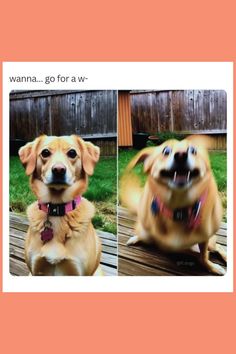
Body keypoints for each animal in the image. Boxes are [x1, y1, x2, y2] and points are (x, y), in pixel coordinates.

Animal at [121, 135, 227, 274]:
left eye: (193, 150)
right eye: (166, 151)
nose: (181, 155)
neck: (179, 206)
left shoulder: (204, 239)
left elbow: (203, 256)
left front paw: (211, 267)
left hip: (210, 243)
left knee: (218, 247)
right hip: (147, 234)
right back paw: (135, 239)